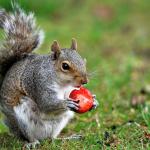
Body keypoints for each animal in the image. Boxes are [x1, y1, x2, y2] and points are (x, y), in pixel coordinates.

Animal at [0, 3, 98, 148]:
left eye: (83, 60)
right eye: (65, 66)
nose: (85, 81)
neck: (63, 83)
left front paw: (94, 101)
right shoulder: (38, 82)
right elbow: (46, 103)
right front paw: (66, 103)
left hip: (60, 122)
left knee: (51, 138)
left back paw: (66, 138)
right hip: (22, 117)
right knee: (29, 136)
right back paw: (33, 142)